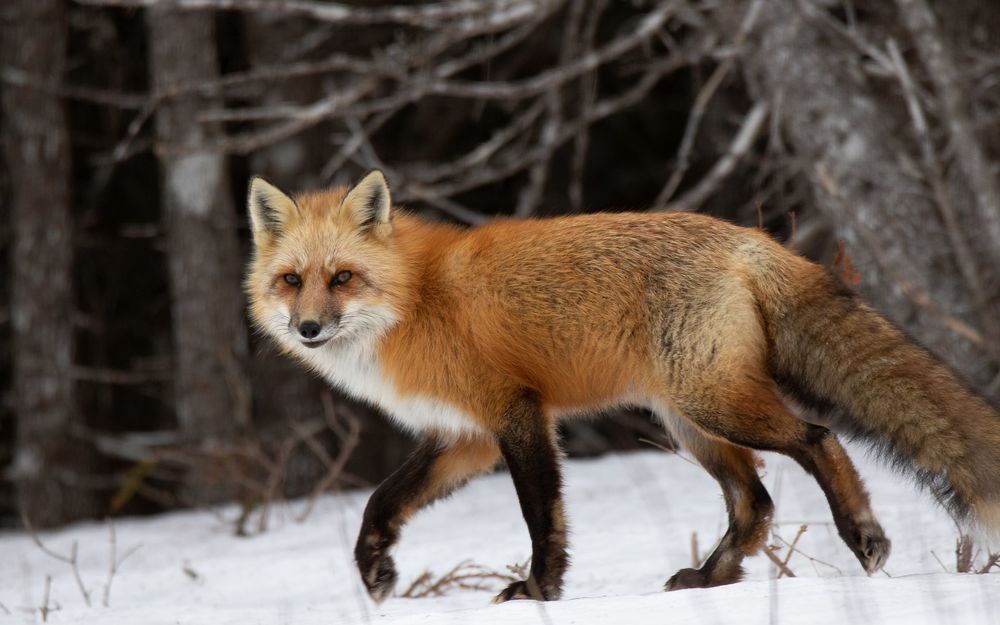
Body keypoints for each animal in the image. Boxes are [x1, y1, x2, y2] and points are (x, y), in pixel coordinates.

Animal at [245, 170, 1000, 602]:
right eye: (292, 280)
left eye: (343, 277)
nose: (308, 328)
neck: (415, 297)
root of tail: (748, 237)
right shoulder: (465, 436)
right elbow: (381, 503)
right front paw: (375, 572)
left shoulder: (516, 412)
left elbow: (541, 513)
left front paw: (540, 586)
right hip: (690, 422)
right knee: (753, 502)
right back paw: (710, 580)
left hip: (714, 405)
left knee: (818, 438)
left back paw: (862, 536)